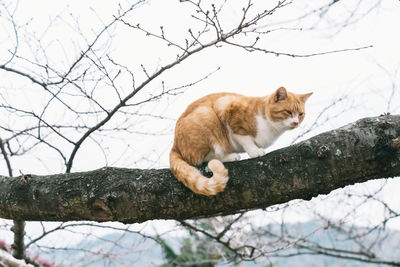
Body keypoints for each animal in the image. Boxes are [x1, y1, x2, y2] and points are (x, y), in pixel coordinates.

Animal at [169, 87, 312, 197]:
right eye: (288, 112)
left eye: (301, 114)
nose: (296, 122)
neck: (271, 126)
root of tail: (174, 145)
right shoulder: (229, 111)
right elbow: (245, 139)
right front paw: (255, 151)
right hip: (207, 115)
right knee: (203, 158)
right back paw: (230, 156)